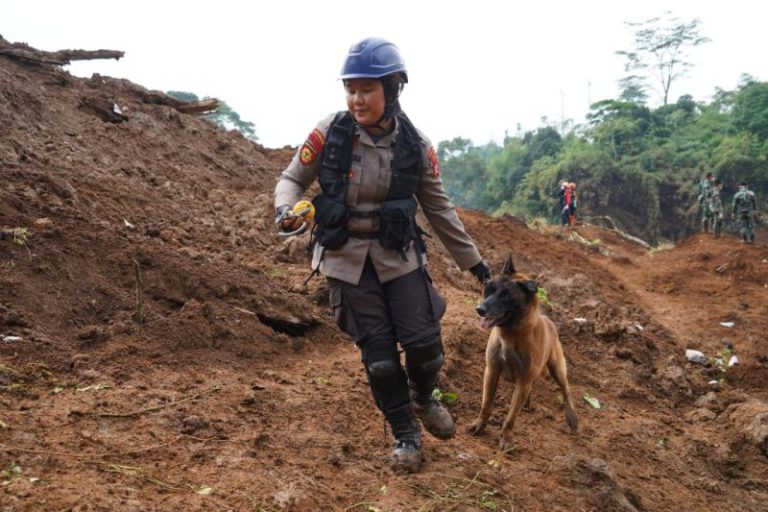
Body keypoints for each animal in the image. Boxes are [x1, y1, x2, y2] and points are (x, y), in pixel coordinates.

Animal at [468, 254, 576, 450]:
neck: (512, 336)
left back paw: (572, 418)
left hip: (558, 369)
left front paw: (506, 440)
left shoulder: (522, 381)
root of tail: (548, 320)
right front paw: (479, 426)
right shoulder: (492, 372)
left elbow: (511, 417)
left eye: (506, 295)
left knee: (566, 391)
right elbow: (486, 405)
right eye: (490, 289)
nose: (480, 309)